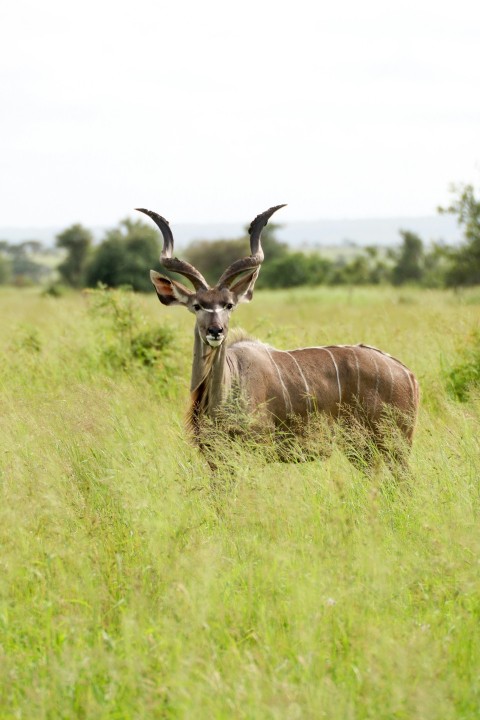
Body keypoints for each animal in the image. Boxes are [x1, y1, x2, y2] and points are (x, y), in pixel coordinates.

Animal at [137, 204, 418, 472]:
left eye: (228, 305)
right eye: (197, 306)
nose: (215, 331)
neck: (226, 388)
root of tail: (408, 374)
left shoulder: (255, 449)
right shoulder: (215, 456)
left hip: (393, 444)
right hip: (362, 449)